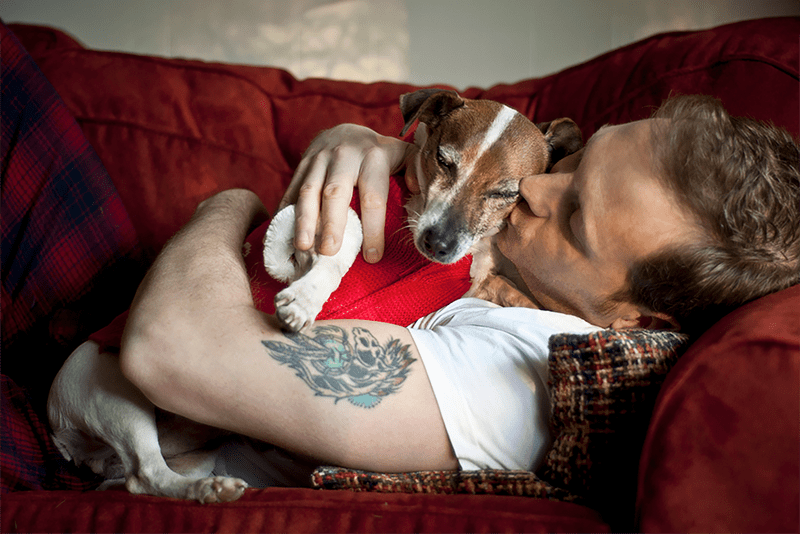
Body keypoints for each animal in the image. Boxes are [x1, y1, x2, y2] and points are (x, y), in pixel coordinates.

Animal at [266, 88, 584, 330]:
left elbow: (516, 295)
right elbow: (334, 257)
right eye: (443, 160)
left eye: (505, 193)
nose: (437, 244)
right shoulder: (337, 217)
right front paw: (305, 298)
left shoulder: (478, 284)